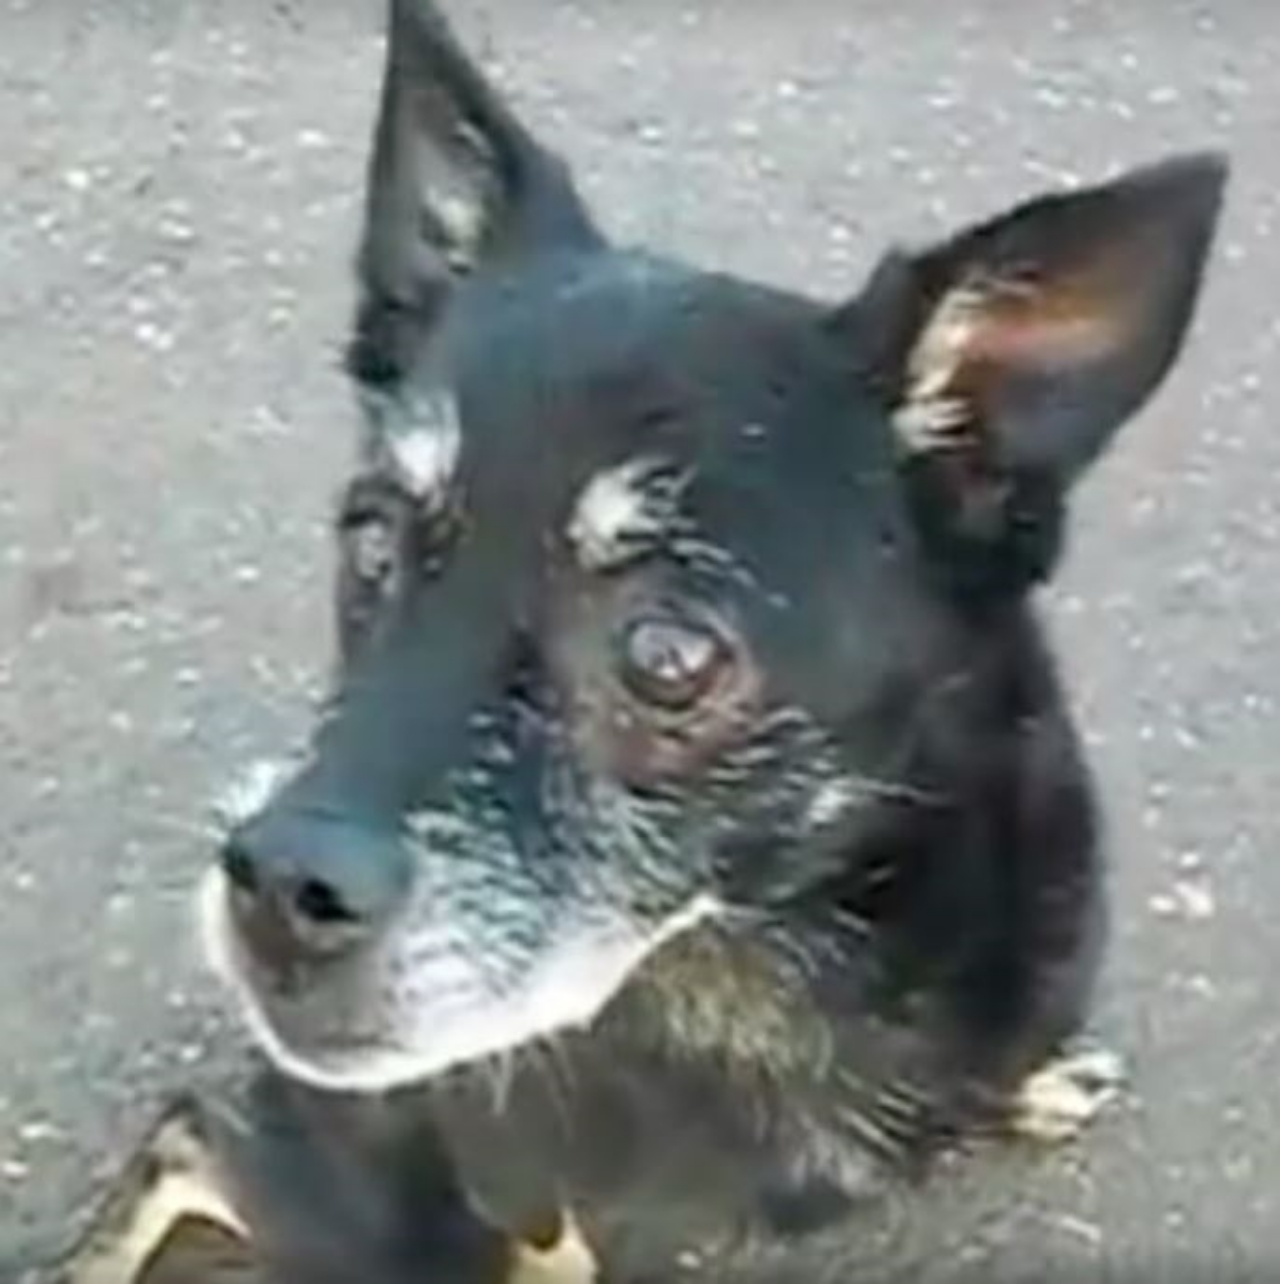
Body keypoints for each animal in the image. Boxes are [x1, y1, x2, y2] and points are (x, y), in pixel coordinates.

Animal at [54, 2, 1222, 1284]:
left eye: (667, 654)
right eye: (370, 545)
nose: (274, 887)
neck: (775, 945)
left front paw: (1031, 1085)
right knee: (193, 1133)